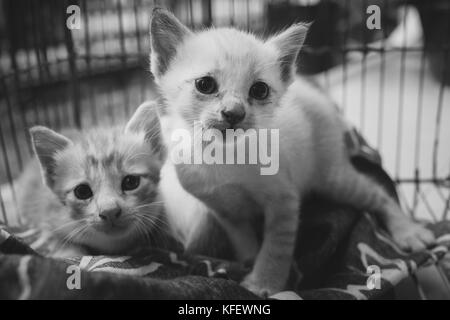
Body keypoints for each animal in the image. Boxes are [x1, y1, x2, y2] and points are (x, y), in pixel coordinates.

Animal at [18, 102, 167, 258]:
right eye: (82, 191)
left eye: (131, 182)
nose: (110, 211)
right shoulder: (47, 220)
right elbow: (58, 243)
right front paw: (70, 253)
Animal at [150, 8, 436, 296]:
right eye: (205, 84)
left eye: (259, 90)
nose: (233, 113)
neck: (221, 155)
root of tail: (316, 93)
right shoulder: (226, 214)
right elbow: (244, 241)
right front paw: (248, 262)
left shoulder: (284, 201)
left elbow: (276, 249)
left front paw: (265, 282)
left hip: (332, 178)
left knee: (378, 194)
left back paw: (408, 231)